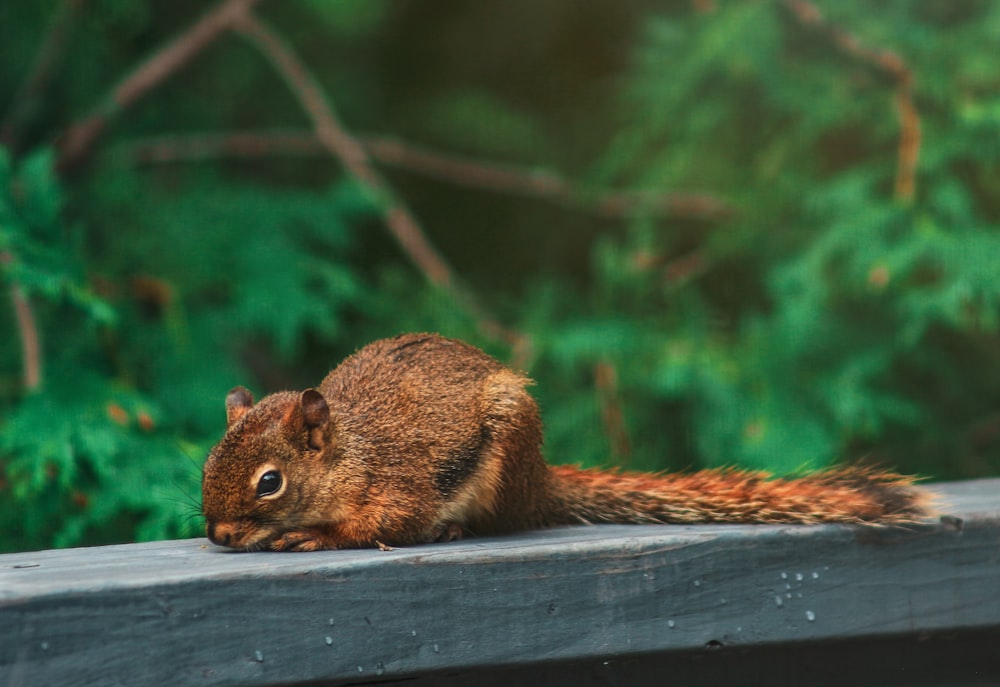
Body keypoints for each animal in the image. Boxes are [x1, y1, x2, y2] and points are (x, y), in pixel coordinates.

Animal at [201, 334, 928, 552]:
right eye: (208, 463)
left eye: (270, 481)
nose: (219, 533)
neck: (349, 455)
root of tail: (542, 478)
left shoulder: (399, 483)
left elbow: (386, 523)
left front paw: (312, 535)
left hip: (506, 457)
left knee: (502, 520)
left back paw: (458, 529)